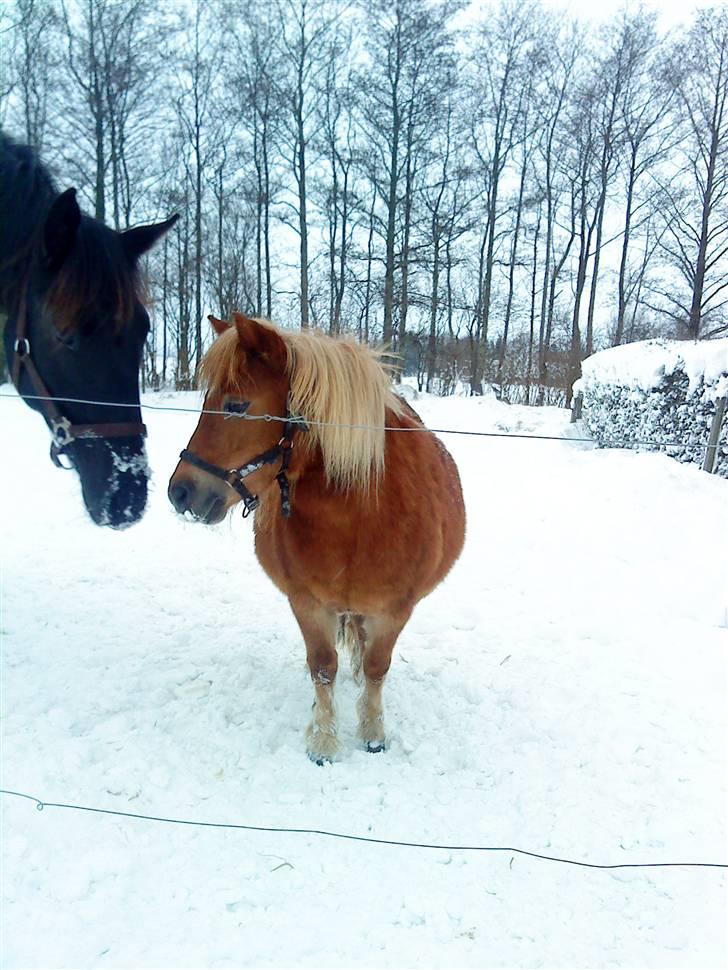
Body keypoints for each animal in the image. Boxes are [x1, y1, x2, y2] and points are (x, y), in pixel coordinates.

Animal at [168, 312, 466, 762]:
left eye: (236, 405)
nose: (180, 492)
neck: (357, 517)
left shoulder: (395, 610)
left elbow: (377, 667)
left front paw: (372, 732)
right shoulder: (306, 603)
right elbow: (323, 667)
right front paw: (324, 741)